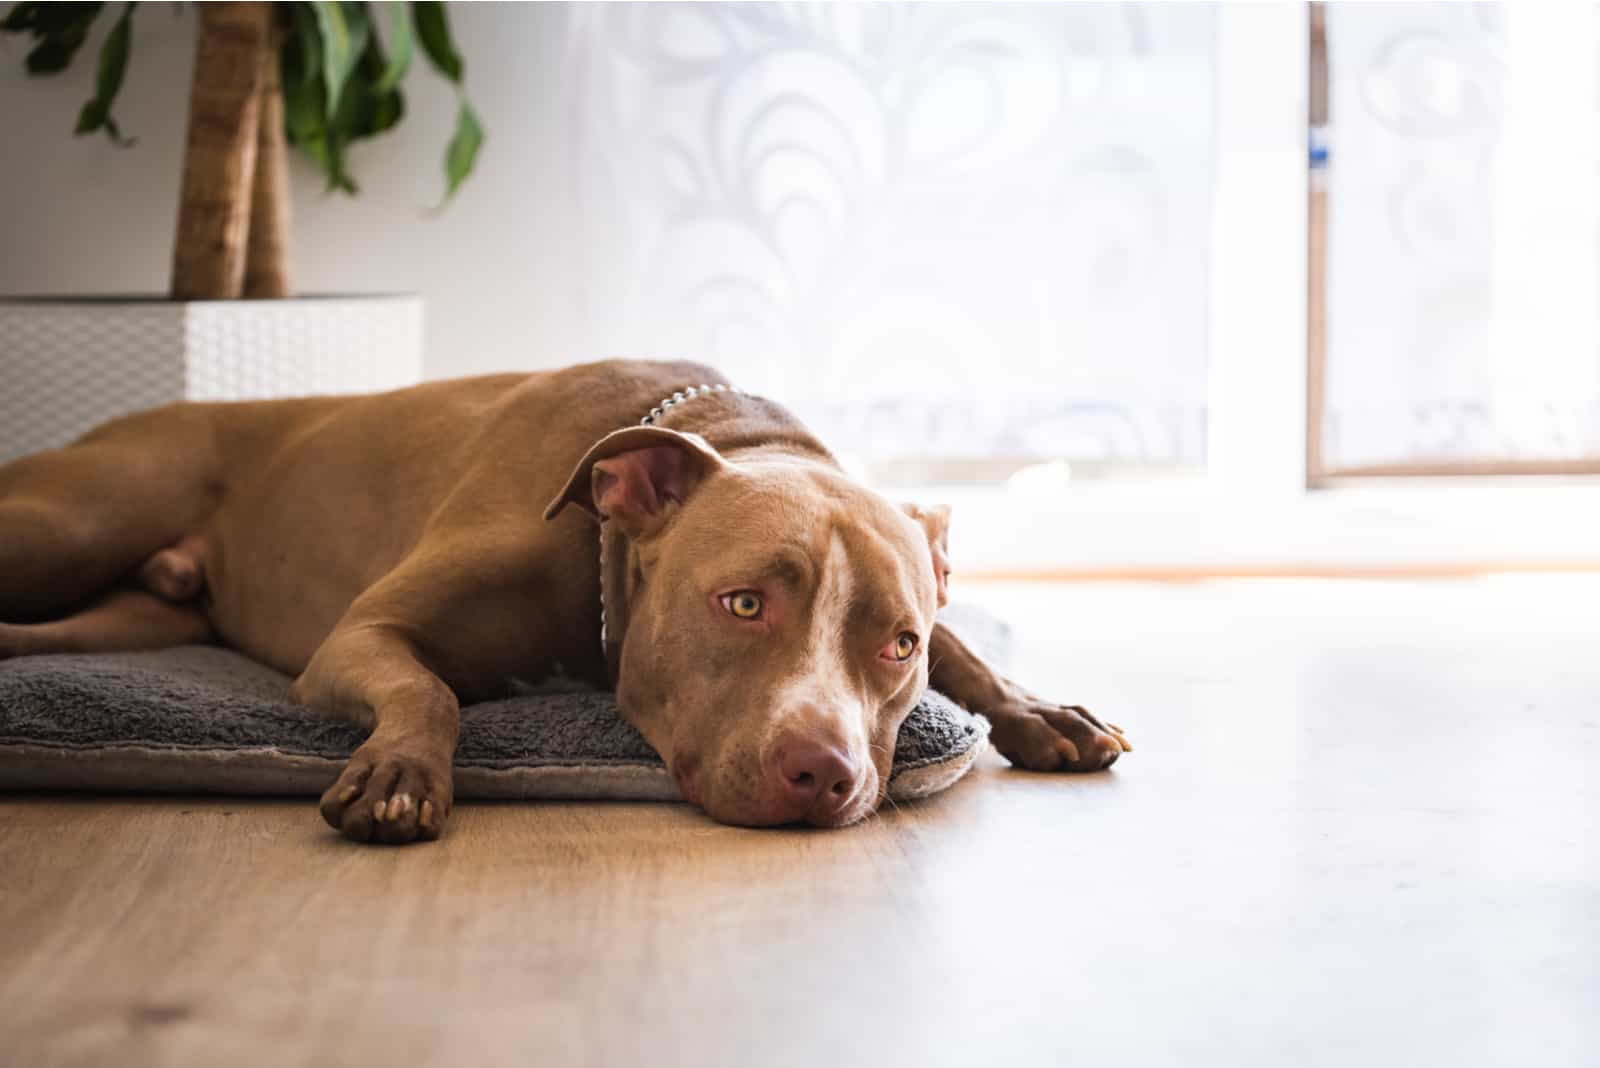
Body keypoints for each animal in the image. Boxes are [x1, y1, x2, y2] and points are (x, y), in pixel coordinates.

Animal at [0, 361, 1132, 844]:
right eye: (742, 605)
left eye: (896, 644)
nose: (826, 773)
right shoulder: (360, 635)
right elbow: (429, 692)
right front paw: (400, 779)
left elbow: (968, 649)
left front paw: (1042, 711)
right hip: (72, 524)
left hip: (132, 614)